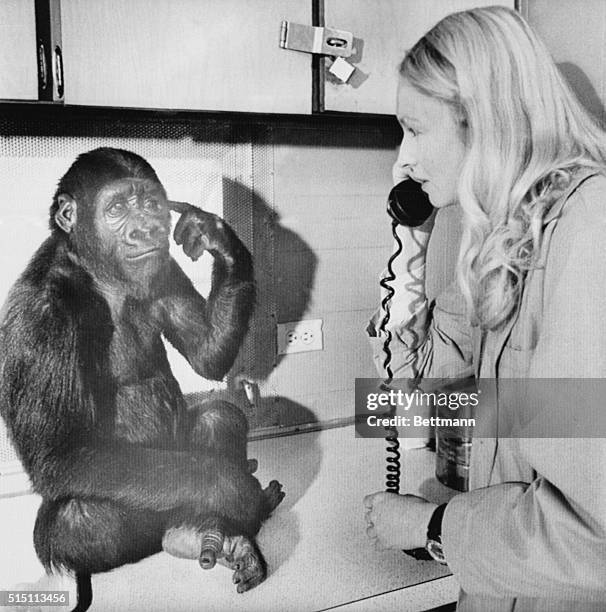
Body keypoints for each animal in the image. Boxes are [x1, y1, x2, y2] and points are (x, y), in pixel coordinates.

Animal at [0, 147, 284, 608]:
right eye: (116, 208)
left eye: (151, 204)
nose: (145, 229)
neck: (98, 275)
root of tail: (158, 538)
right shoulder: (42, 321)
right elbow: (61, 453)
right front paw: (232, 487)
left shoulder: (164, 266)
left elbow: (206, 354)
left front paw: (218, 240)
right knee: (80, 517)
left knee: (219, 418)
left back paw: (204, 532)